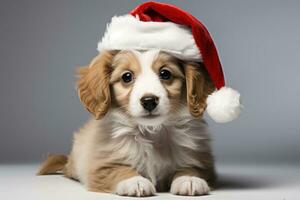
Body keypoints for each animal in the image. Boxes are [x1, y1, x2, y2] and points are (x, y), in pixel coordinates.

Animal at [38, 48, 216, 197]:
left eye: (165, 73)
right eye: (127, 77)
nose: (149, 101)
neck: (152, 131)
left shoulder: (202, 162)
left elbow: (192, 168)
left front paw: (189, 179)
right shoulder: (100, 167)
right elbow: (119, 170)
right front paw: (135, 181)